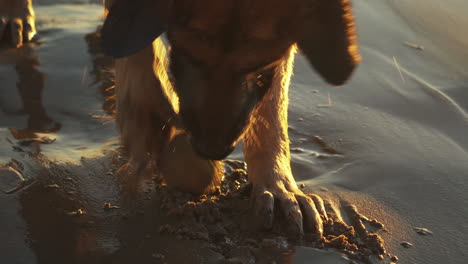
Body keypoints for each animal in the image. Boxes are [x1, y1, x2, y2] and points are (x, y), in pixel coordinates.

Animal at [1, 0, 360, 236]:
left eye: (260, 68)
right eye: (188, 55)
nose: (212, 150)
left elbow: (271, 107)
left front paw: (276, 183)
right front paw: (143, 112)